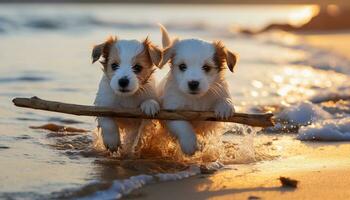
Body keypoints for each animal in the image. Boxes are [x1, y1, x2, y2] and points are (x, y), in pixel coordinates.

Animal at [159, 25, 238, 155]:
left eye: (206, 67)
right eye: (182, 66)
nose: (193, 83)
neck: (196, 99)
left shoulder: (209, 116)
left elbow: (222, 99)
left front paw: (225, 105)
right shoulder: (171, 111)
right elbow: (183, 125)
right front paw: (190, 143)